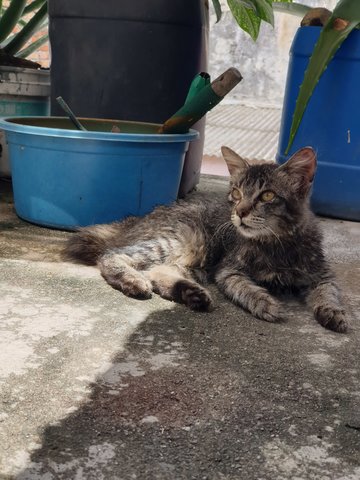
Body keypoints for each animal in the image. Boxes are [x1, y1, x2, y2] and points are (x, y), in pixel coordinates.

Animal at [63, 146, 348, 334]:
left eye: (267, 195)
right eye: (236, 193)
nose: (240, 212)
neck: (277, 244)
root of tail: (136, 220)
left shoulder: (321, 274)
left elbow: (328, 293)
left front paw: (333, 312)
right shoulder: (229, 271)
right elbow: (246, 289)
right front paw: (265, 302)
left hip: (193, 259)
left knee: (158, 271)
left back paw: (192, 294)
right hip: (185, 242)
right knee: (113, 255)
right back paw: (134, 281)